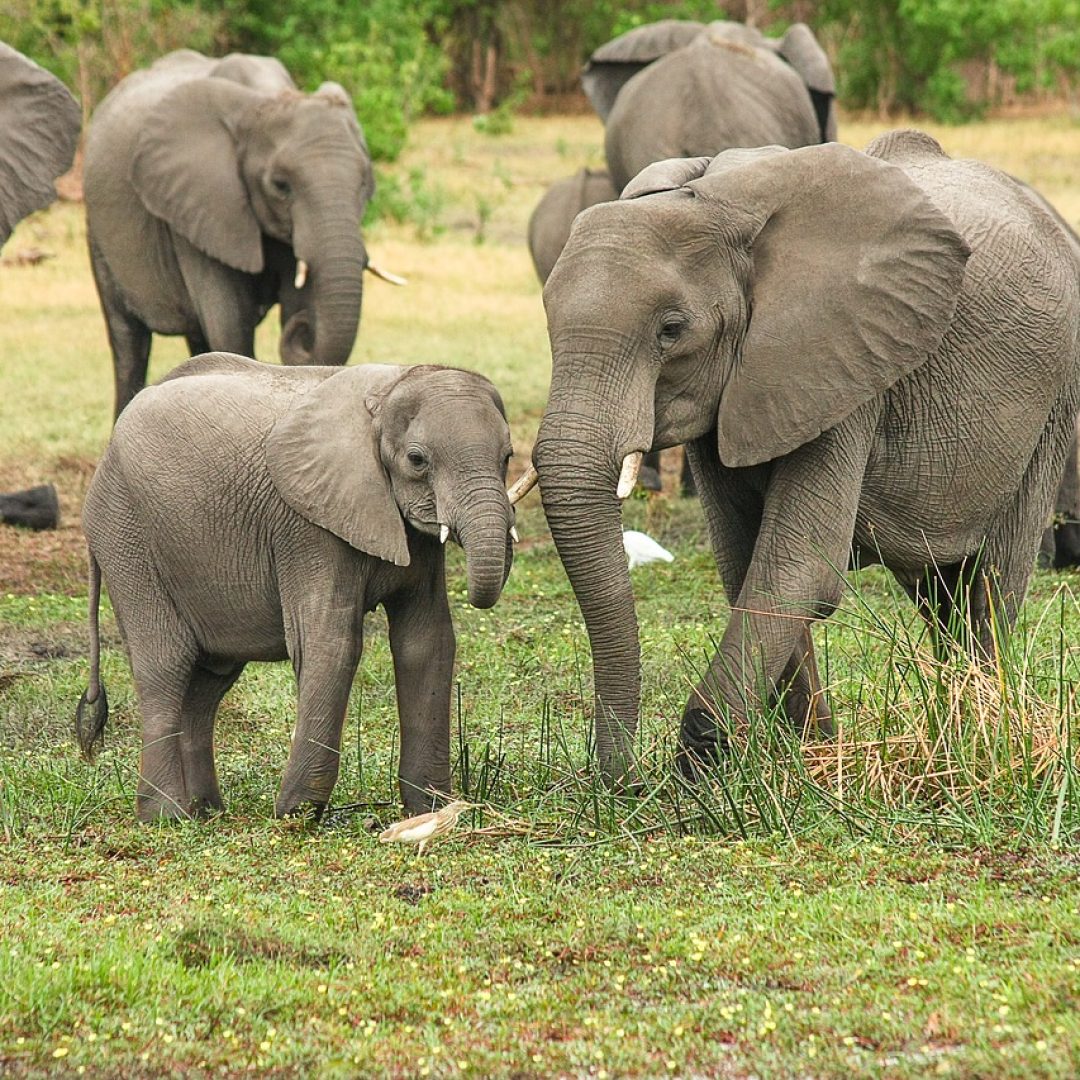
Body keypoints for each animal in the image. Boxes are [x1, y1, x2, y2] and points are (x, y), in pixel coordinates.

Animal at [76, 353, 520, 821]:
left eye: (508, 456)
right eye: (417, 460)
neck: (389, 390)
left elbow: (427, 642)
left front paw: (431, 810)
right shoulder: (307, 527)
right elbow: (331, 643)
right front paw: (296, 815)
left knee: (209, 680)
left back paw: (206, 812)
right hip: (125, 534)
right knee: (166, 664)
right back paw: (167, 817)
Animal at [84, 50, 396, 420]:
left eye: (364, 182)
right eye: (281, 185)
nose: (304, 329)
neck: (266, 98)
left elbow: (292, 302)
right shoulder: (200, 206)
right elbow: (229, 324)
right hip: (97, 232)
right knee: (129, 343)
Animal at [521, 131, 1080, 785]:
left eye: (671, 329)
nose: (626, 781)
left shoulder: (844, 364)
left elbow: (797, 568)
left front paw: (702, 769)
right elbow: (746, 562)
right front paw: (808, 759)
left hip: (1053, 401)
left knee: (990, 582)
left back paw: (978, 737)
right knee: (940, 591)